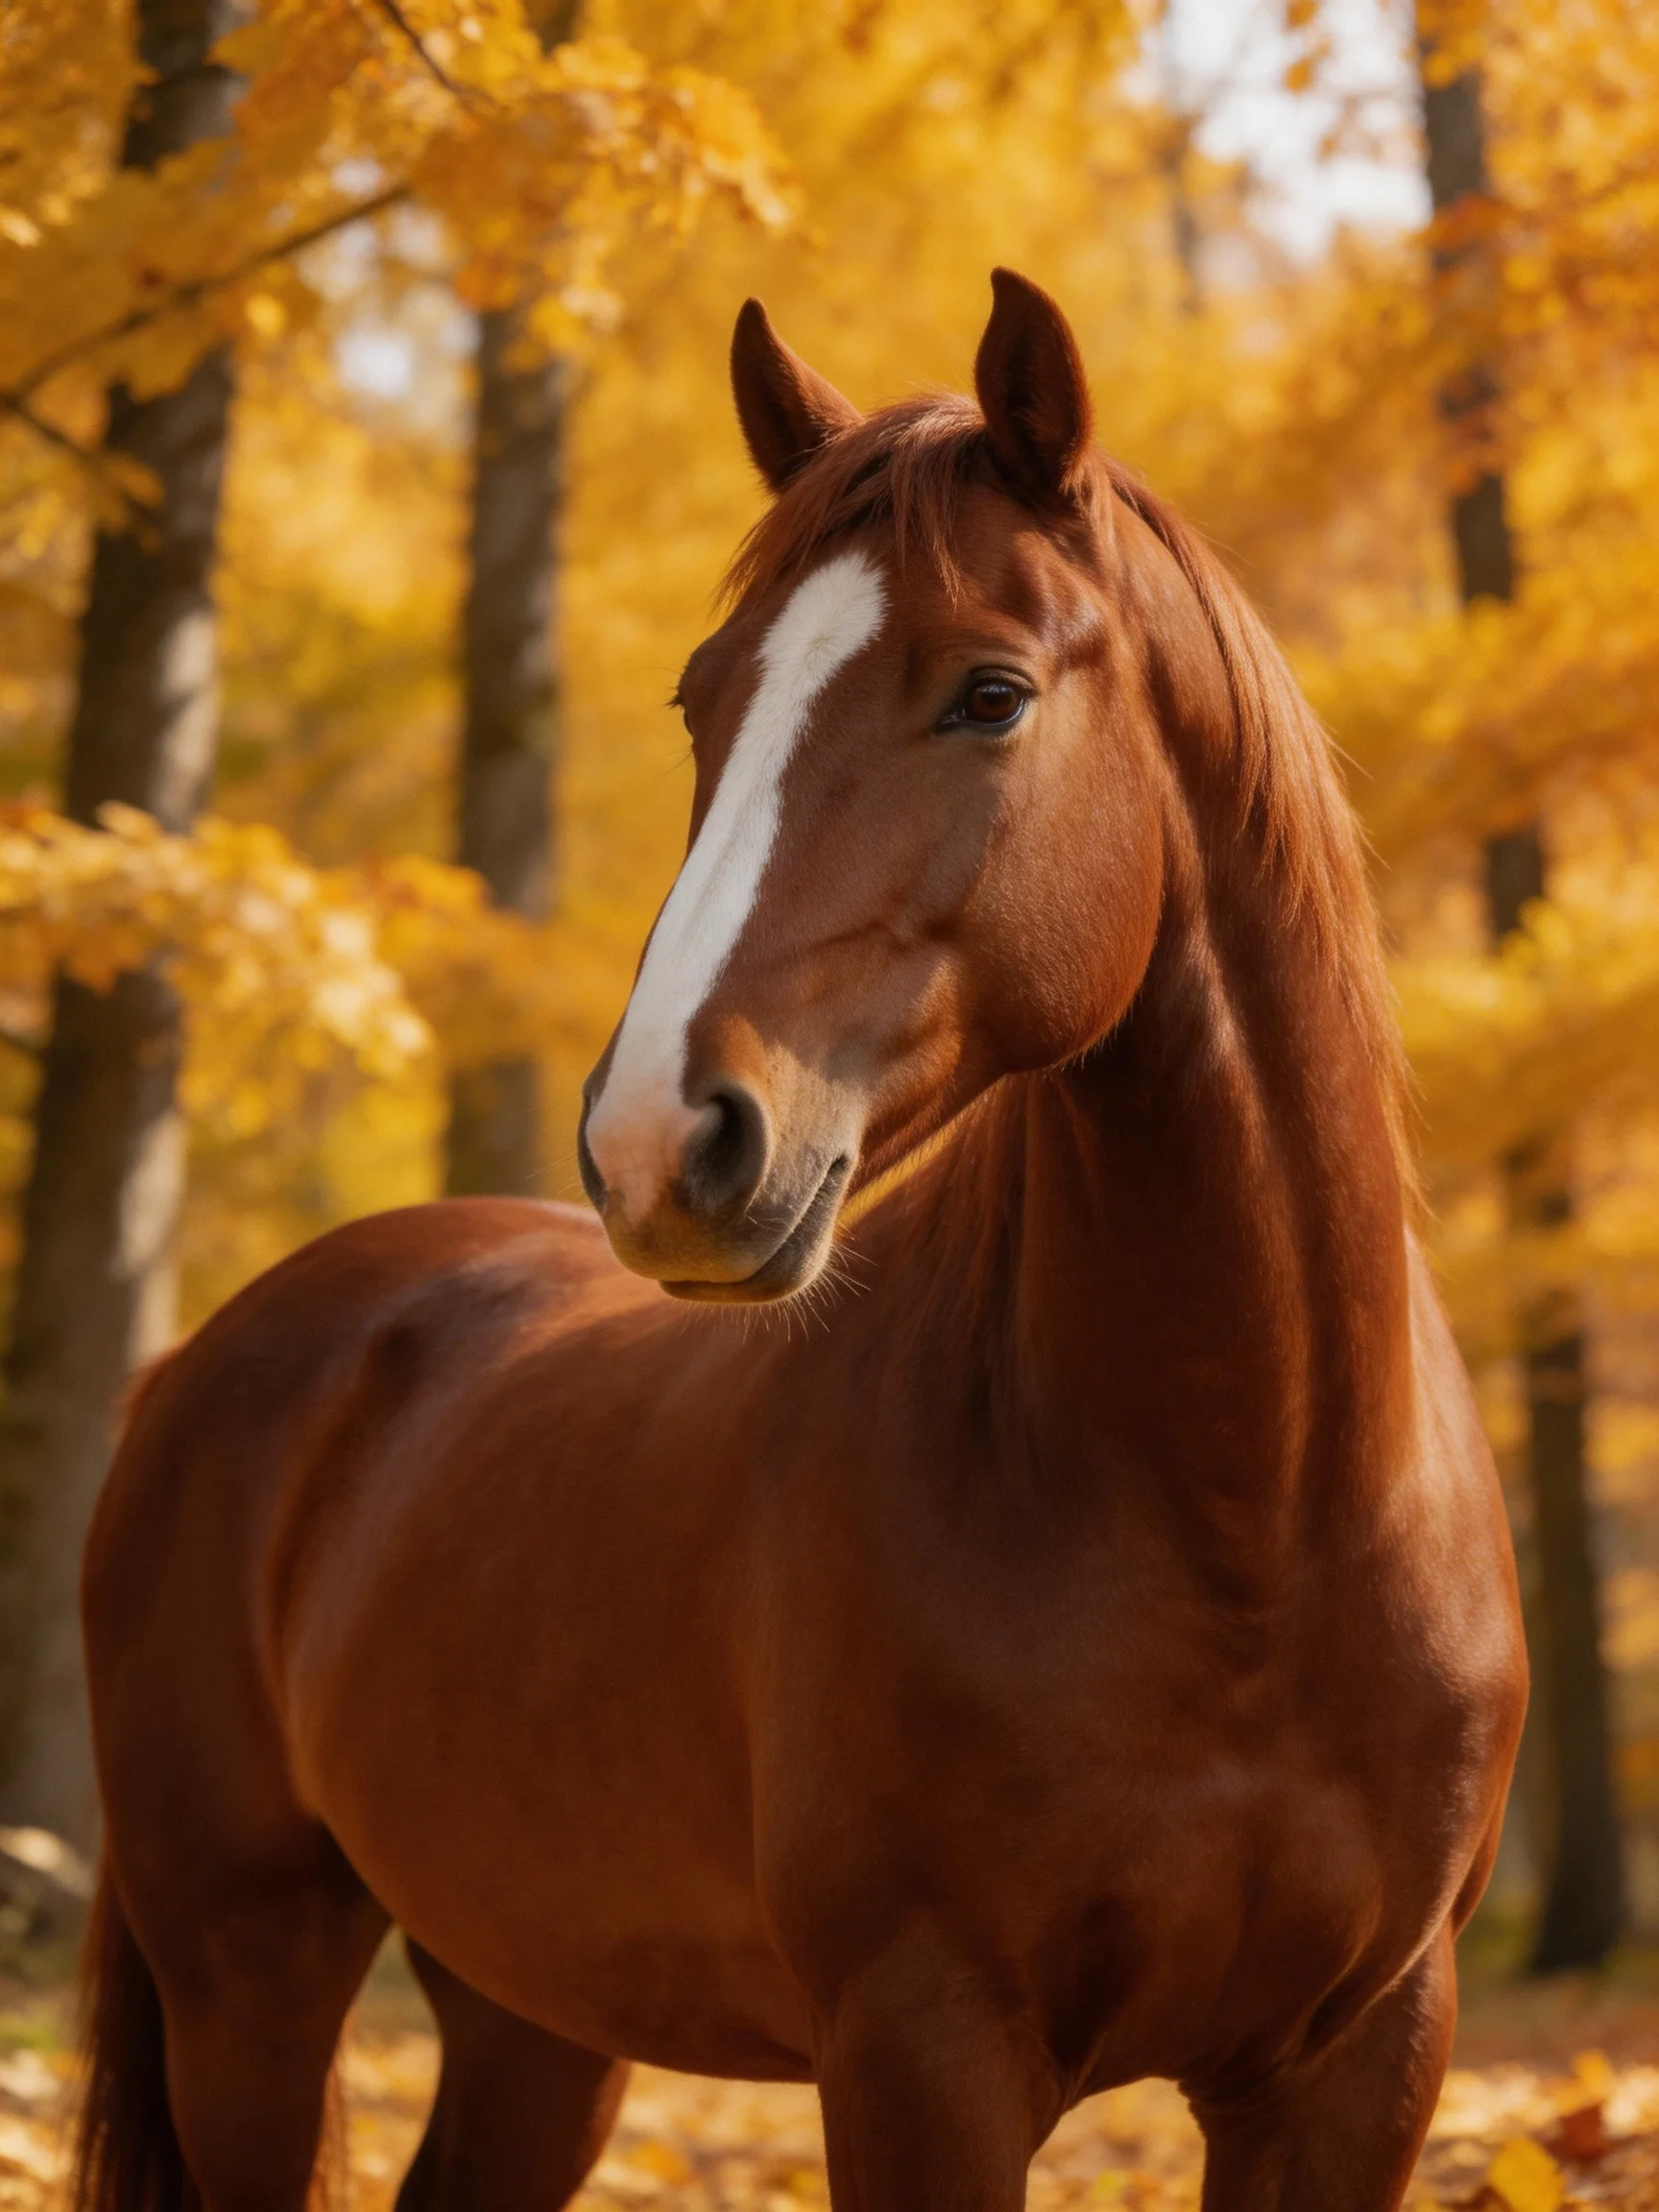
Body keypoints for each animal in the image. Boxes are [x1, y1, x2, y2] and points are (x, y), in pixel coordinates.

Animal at [75, 269, 1525, 2212]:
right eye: (706, 702)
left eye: (988, 693)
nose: (654, 1143)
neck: (1257, 1515)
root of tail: (201, 1363)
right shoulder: (922, 2050)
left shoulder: (1361, 2062)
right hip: (250, 1978)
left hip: (533, 2009)